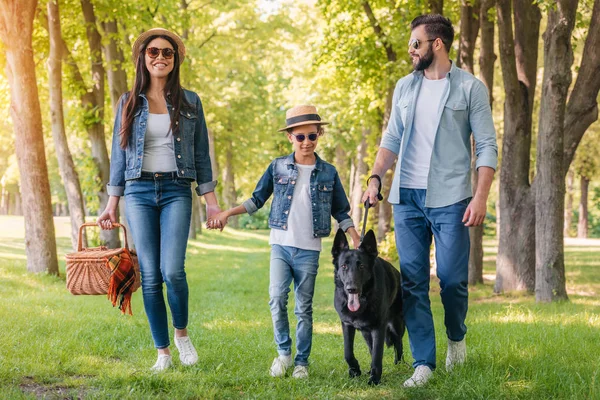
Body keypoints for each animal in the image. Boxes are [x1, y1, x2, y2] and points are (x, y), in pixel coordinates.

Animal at [332, 228, 404, 384]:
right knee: (372, 347)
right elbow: (348, 352)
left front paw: (374, 379)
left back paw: (400, 364)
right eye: (344, 266)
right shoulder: (347, 325)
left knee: (398, 342)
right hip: (366, 332)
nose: (352, 289)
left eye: (361, 266)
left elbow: (377, 355)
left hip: (396, 325)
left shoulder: (378, 328)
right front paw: (355, 371)